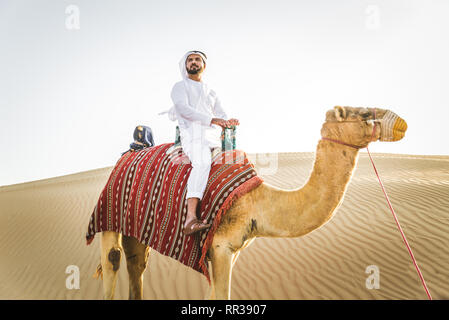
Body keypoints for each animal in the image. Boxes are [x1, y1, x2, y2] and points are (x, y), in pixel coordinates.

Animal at [94, 105, 406, 300]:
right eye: (364, 113)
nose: (402, 123)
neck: (258, 201)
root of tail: (129, 154)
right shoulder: (220, 247)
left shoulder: (230, 250)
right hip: (109, 212)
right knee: (113, 259)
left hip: (136, 228)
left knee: (137, 263)